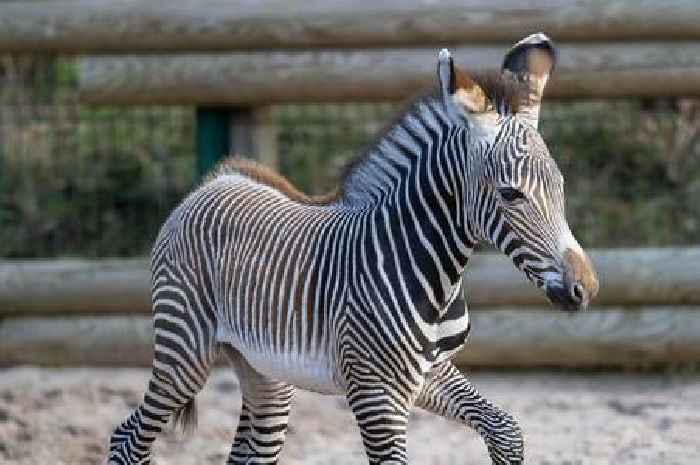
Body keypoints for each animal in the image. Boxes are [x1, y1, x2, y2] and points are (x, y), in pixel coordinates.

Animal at [106, 32, 600, 464]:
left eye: (560, 187)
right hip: (184, 348)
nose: (586, 288)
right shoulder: (375, 393)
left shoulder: (428, 373)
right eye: (511, 194)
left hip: (264, 373)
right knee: (126, 439)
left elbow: (505, 429)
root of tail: (217, 179)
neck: (432, 269)